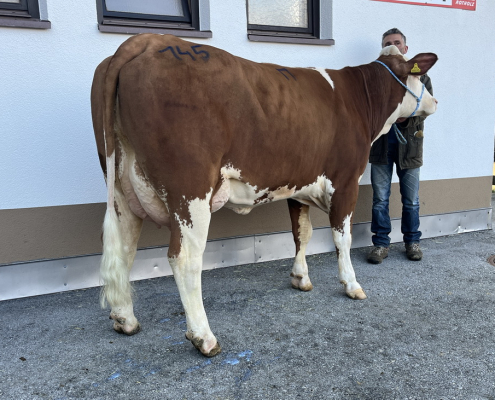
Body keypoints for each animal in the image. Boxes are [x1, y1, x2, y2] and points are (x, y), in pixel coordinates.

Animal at [90, 33, 438, 356]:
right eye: (419, 76)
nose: (435, 102)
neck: (360, 100)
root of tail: (147, 40)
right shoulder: (346, 181)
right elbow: (342, 238)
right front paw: (352, 284)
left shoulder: (299, 184)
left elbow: (302, 233)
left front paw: (300, 278)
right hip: (190, 190)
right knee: (184, 257)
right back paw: (204, 337)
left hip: (120, 187)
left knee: (122, 248)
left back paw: (125, 319)